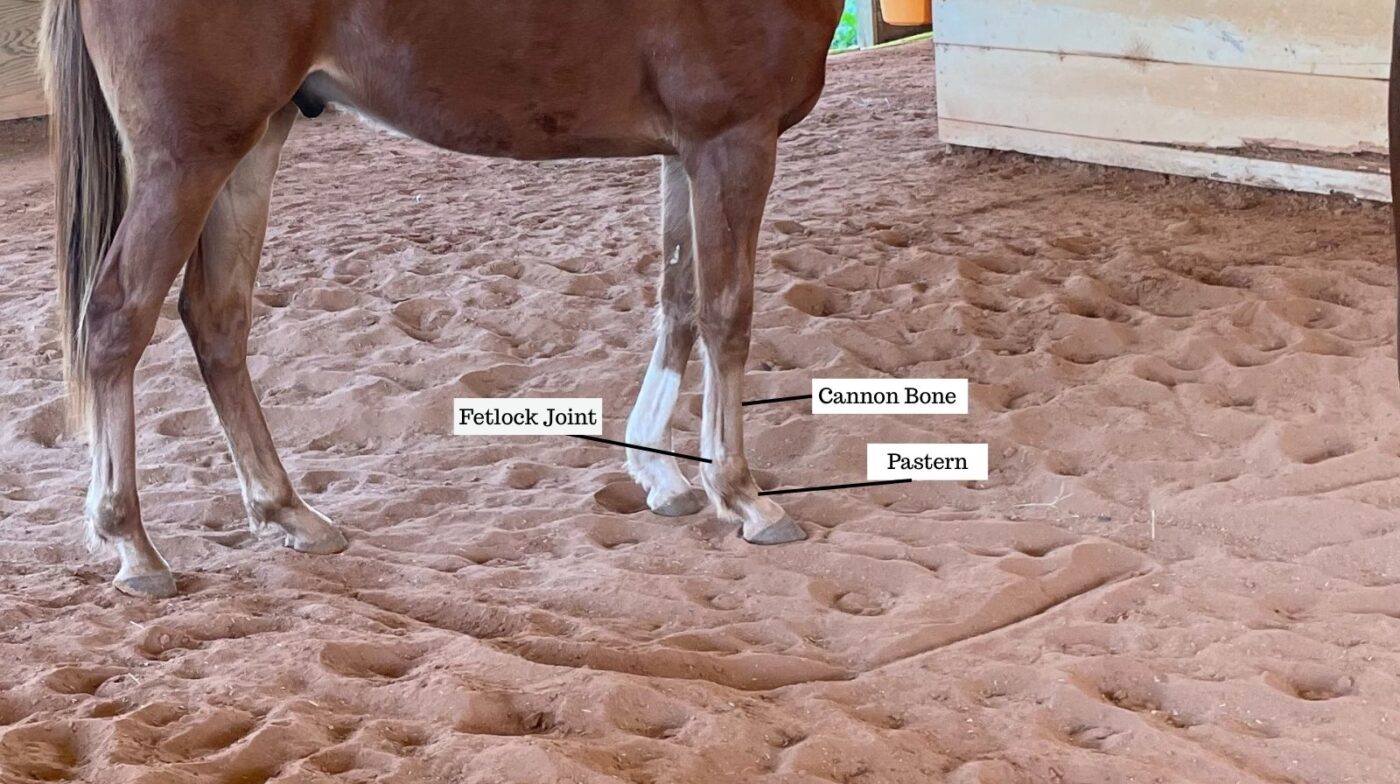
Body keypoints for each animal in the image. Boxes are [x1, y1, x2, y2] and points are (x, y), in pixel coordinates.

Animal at [40, 0, 847, 597]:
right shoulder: (732, 140)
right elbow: (726, 316)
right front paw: (742, 497)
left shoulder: (687, 150)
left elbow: (677, 303)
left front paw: (661, 475)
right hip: (187, 158)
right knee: (116, 320)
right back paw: (134, 548)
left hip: (251, 143)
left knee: (216, 318)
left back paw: (291, 513)